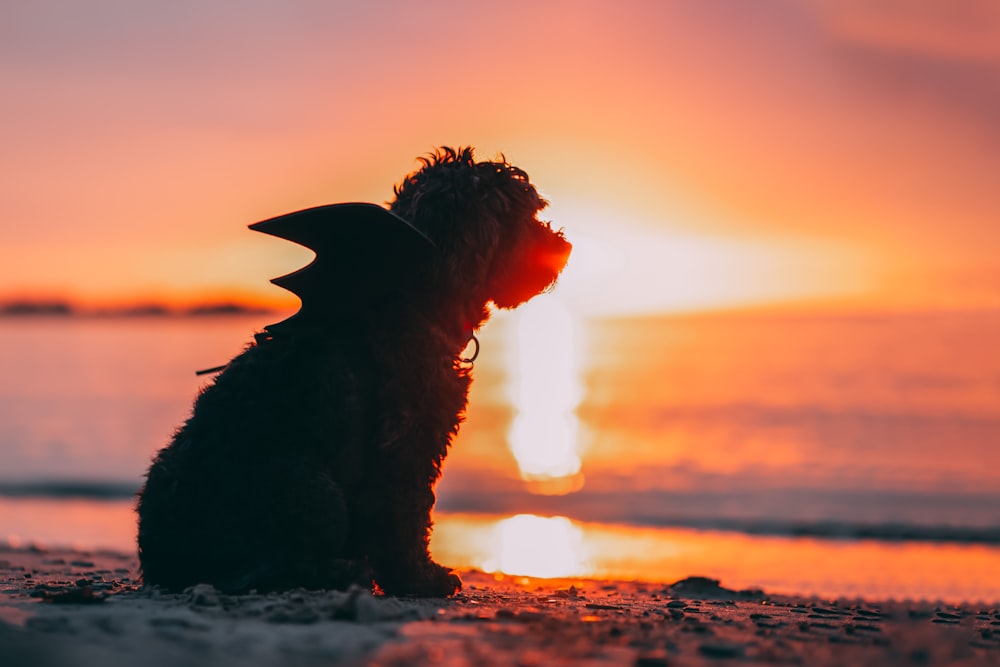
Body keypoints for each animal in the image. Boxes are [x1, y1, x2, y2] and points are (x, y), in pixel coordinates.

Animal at [135, 149, 572, 596]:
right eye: (522, 216)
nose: (564, 247)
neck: (418, 298)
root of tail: (162, 562)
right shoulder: (406, 442)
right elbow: (405, 511)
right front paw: (419, 577)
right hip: (315, 490)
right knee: (276, 565)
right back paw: (340, 571)